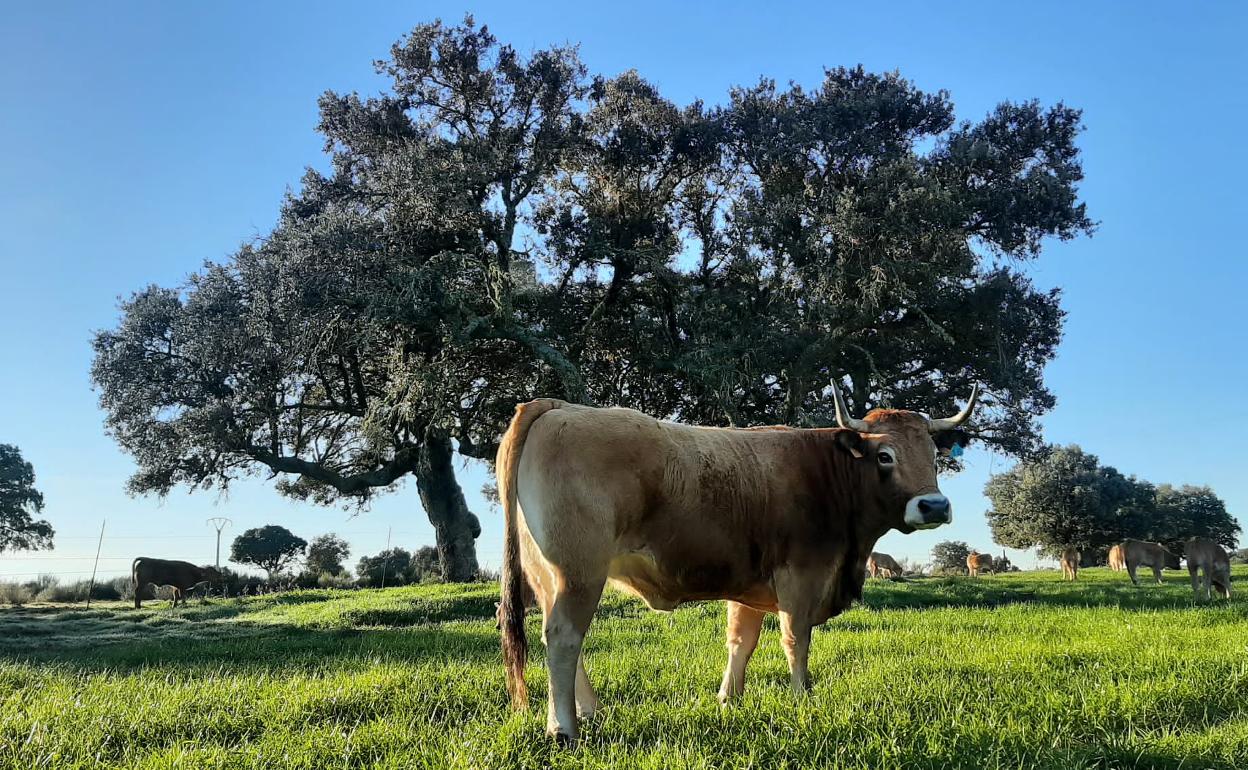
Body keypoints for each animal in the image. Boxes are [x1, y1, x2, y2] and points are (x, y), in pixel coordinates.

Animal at [494, 379, 973, 743]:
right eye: (884, 455)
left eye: (934, 456)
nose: (934, 506)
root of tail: (558, 406)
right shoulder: (801, 577)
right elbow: (795, 641)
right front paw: (803, 698)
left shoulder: (750, 586)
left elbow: (741, 641)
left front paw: (730, 698)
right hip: (579, 571)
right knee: (564, 636)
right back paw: (564, 728)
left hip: (548, 575)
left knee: (560, 635)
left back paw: (586, 711)